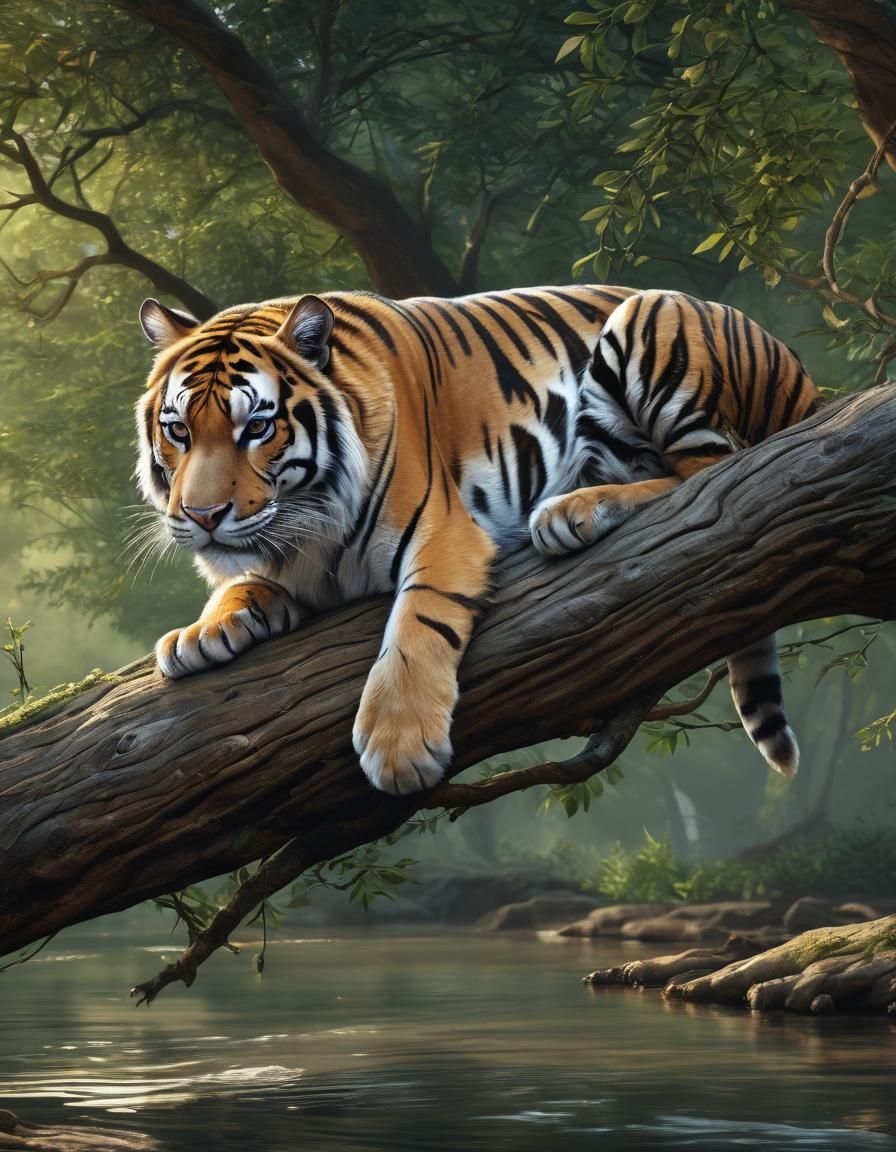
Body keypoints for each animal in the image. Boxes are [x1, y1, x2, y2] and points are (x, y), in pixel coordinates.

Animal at [135, 285, 820, 794]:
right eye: (178, 430)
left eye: (256, 427)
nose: (202, 514)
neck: (306, 528)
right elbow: (244, 584)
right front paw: (199, 634)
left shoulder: (444, 533)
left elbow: (417, 623)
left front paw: (400, 746)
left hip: (651, 323)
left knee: (710, 477)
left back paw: (572, 511)